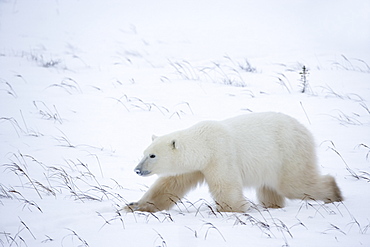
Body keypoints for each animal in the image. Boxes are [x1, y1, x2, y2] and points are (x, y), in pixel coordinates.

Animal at [123, 112, 342, 212]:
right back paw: (272, 206)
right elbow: (168, 186)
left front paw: (233, 210)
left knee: (295, 184)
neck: (203, 143)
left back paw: (334, 194)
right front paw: (133, 206)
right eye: (144, 152)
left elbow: (225, 187)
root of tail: (304, 130)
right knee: (270, 189)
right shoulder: (194, 166)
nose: (137, 169)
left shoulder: (220, 155)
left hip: (288, 153)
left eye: (152, 156)